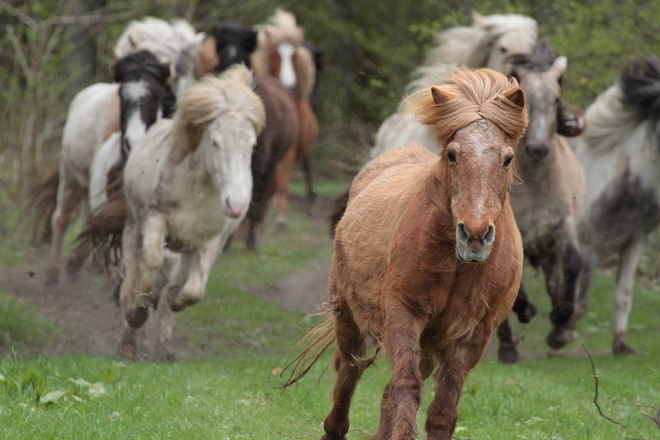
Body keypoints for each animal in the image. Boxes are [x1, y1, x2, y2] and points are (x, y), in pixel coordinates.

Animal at [118, 66, 266, 360]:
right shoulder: (156, 220)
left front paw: (176, 302)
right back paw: (128, 341)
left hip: (188, 247)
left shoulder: (211, 239)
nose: (236, 204)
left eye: (252, 145)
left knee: (175, 284)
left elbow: (194, 289)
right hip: (133, 228)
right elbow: (151, 263)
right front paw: (138, 313)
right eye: (215, 142)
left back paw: (163, 345)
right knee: (130, 282)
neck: (198, 191)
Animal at [282, 69, 524, 440]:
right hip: (348, 313)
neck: (455, 266)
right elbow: (405, 387)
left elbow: (443, 411)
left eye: (507, 158)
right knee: (349, 366)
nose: (474, 235)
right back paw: (334, 427)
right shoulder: (403, 313)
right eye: (452, 154)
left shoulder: (472, 334)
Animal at [498, 41, 584, 362]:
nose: (537, 149)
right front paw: (528, 311)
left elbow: (573, 262)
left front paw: (561, 328)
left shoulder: (561, 223)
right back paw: (507, 347)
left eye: (556, 99)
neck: (536, 183)